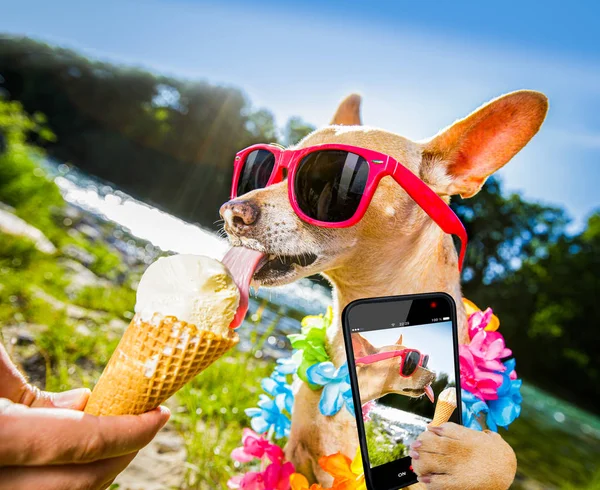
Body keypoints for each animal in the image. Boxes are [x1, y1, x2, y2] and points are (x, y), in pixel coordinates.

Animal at [220, 89, 548, 490]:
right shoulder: (298, 457)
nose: (232, 211)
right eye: (267, 171)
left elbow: (502, 459)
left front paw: (465, 455)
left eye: (329, 179)